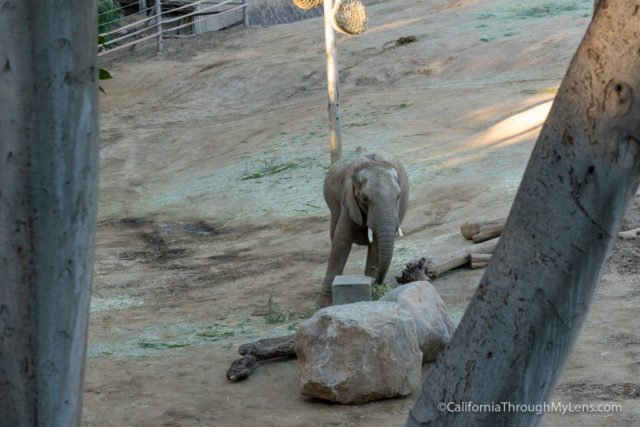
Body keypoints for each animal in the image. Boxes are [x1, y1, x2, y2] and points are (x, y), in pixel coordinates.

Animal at [318, 153, 410, 308]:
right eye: (364, 198)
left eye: (398, 196)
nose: (378, 282)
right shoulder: (349, 201)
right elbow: (341, 243)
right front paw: (325, 306)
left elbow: (376, 246)